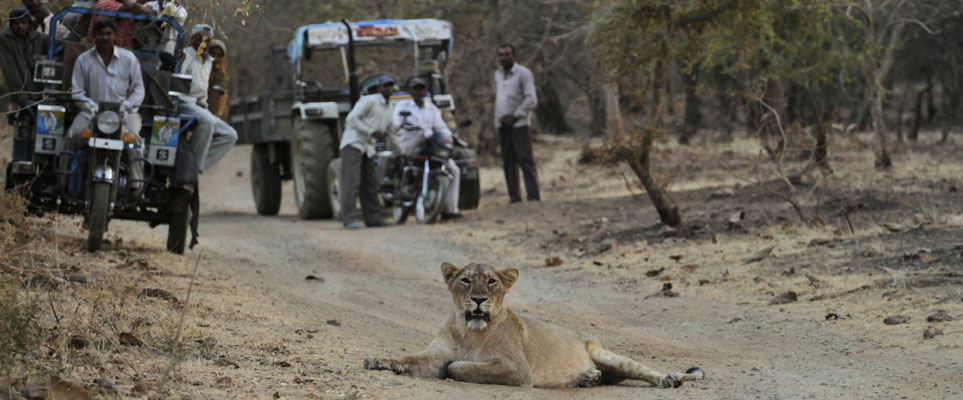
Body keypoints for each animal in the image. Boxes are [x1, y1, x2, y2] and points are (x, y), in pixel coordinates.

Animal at [363, 262, 704, 389]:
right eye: (465, 280)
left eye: (491, 282)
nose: (477, 299)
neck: (470, 332)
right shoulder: (436, 354)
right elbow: (410, 359)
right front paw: (378, 361)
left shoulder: (516, 369)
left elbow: (458, 367)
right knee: (607, 377)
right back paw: (587, 378)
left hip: (605, 353)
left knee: (643, 371)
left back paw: (671, 378)